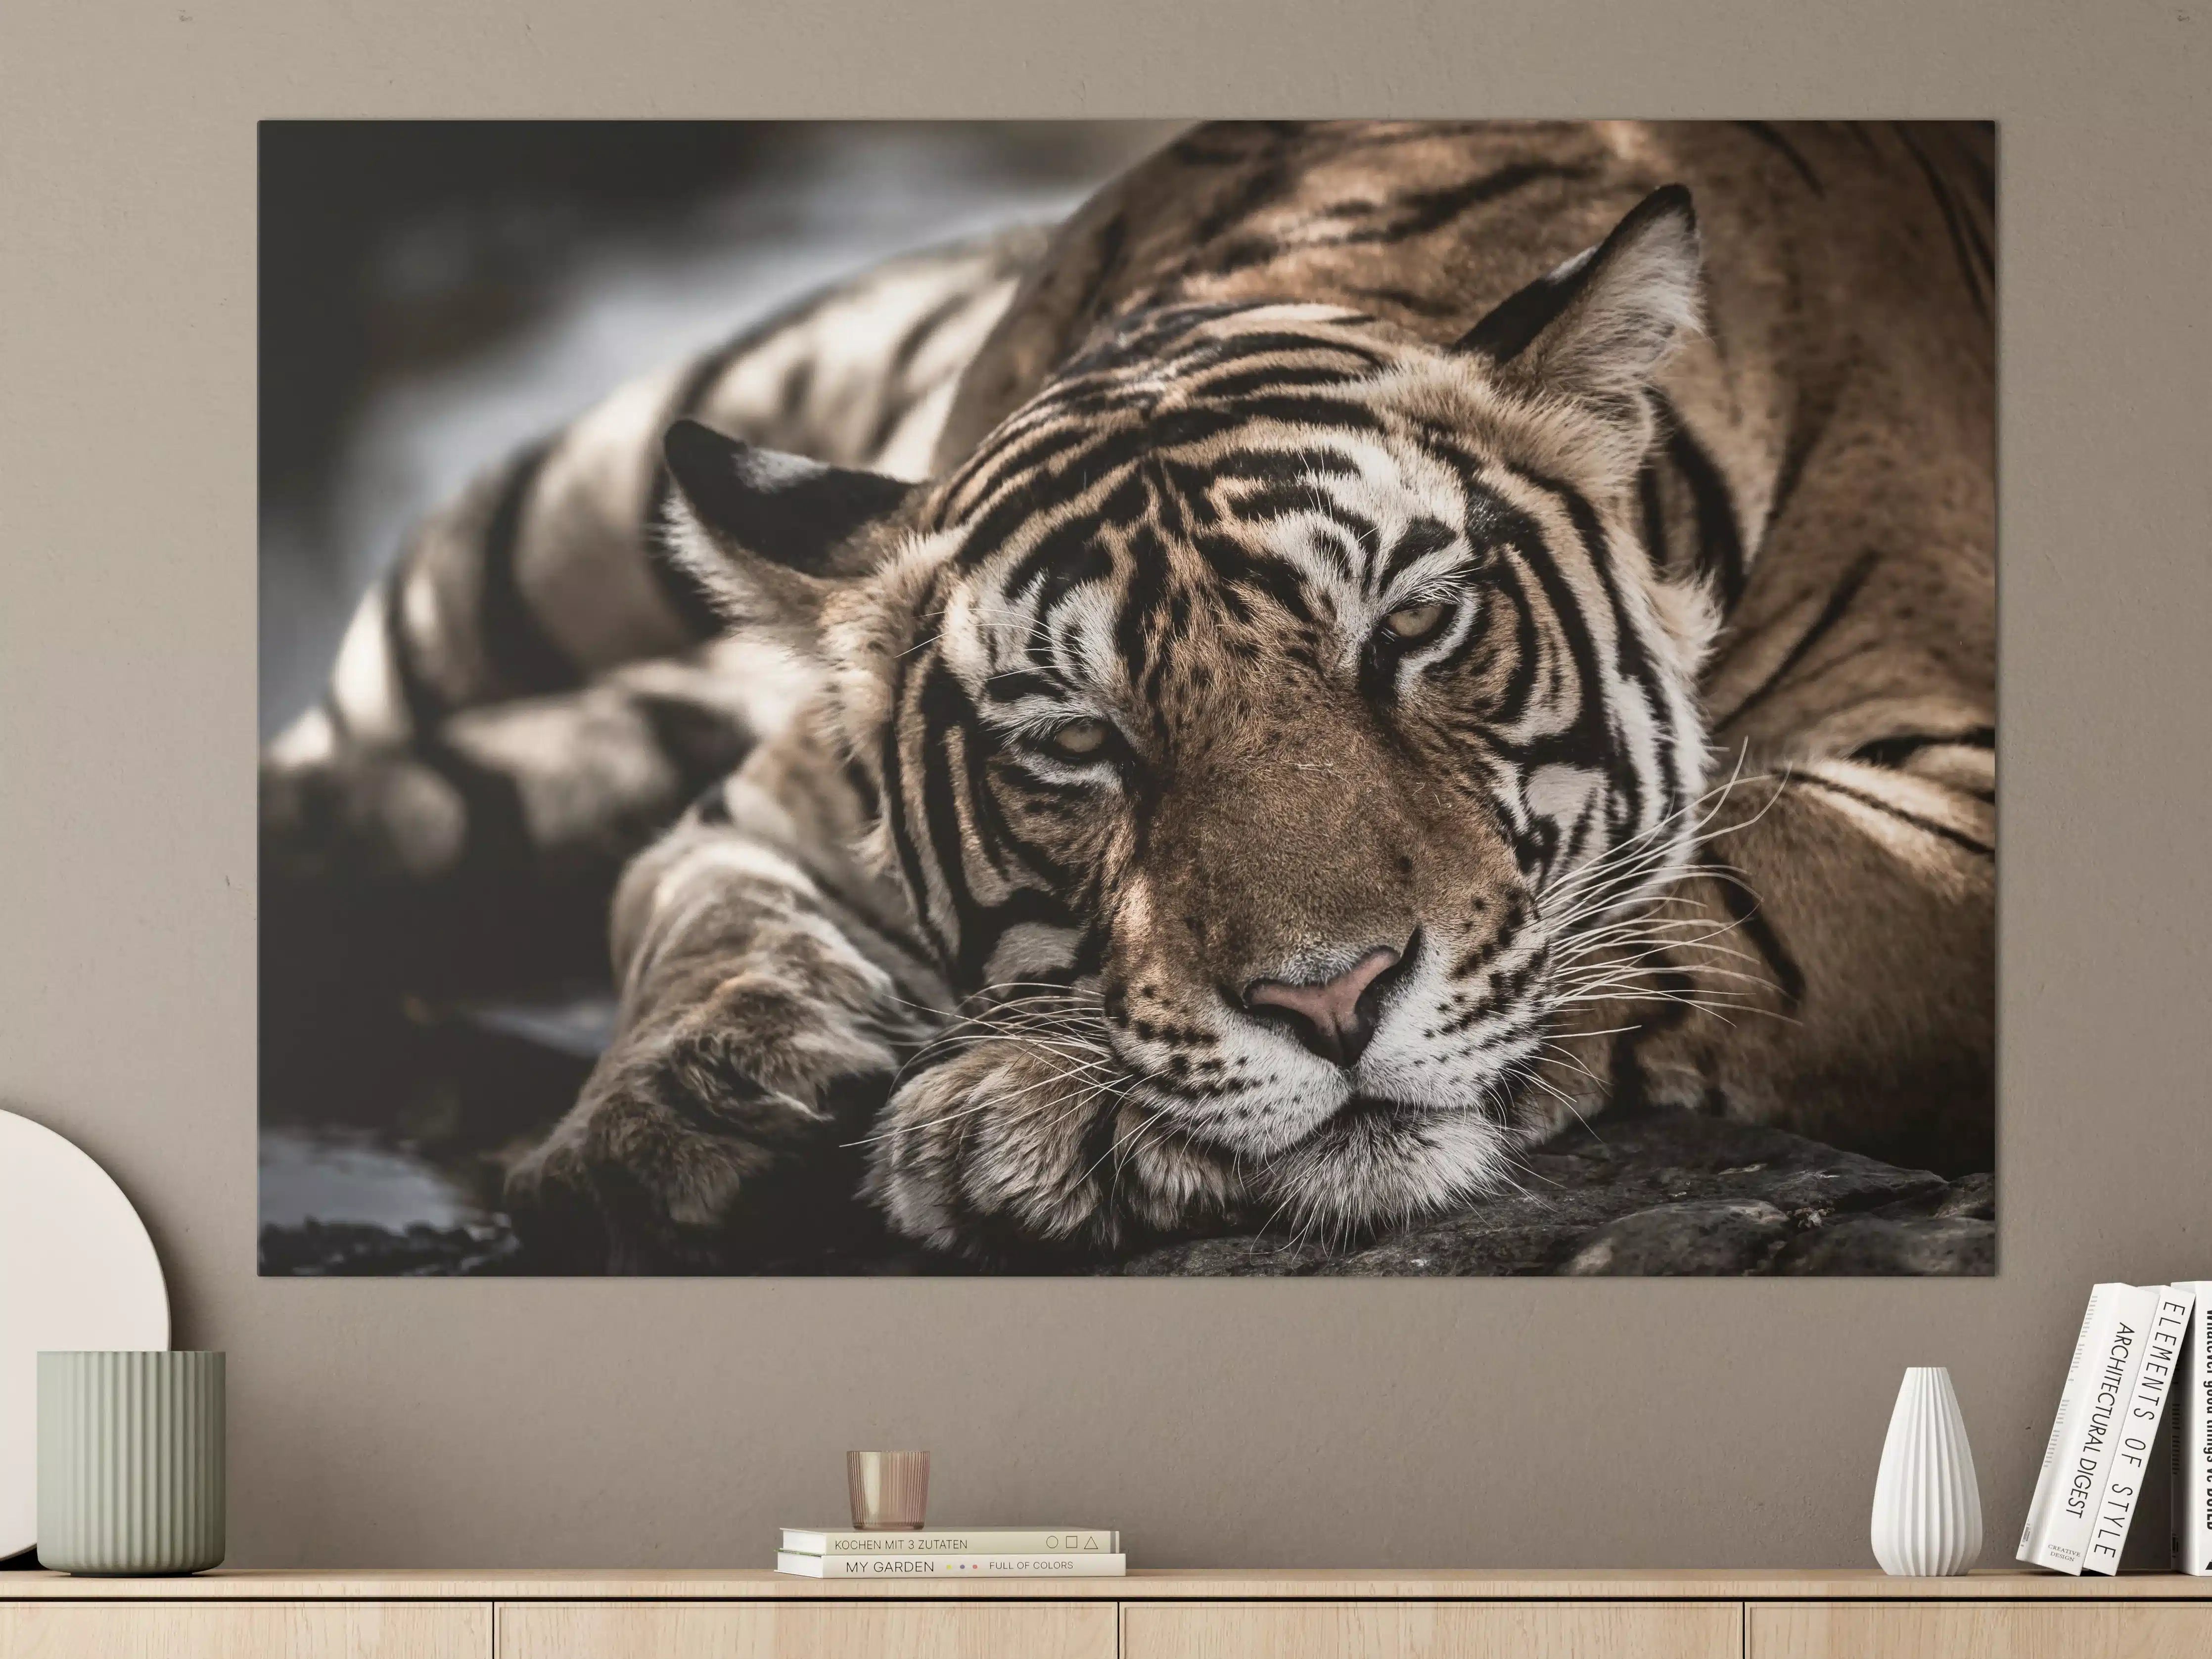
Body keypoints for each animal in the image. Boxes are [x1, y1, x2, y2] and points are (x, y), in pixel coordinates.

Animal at [262, 121, 1995, 1272]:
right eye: (1074, 740)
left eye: (1416, 625)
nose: (1329, 1001)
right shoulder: (765, 799)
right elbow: (693, 910)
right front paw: (660, 1116)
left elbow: (1723, 884)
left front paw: (1031, 1113)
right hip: (539, 528)